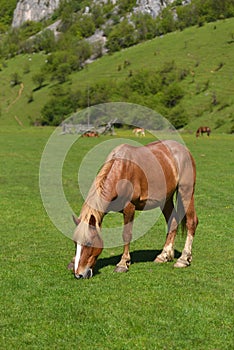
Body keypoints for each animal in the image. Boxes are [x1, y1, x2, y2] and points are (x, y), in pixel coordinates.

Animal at [70, 139, 198, 278]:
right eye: (75, 242)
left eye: (89, 243)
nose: (79, 274)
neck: (120, 171)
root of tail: (184, 150)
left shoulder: (129, 208)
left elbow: (126, 234)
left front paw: (123, 263)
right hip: (166, 199)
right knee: (172, 221)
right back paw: (164, 255)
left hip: (186, 191)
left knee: (191, 222)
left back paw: (183, 259)